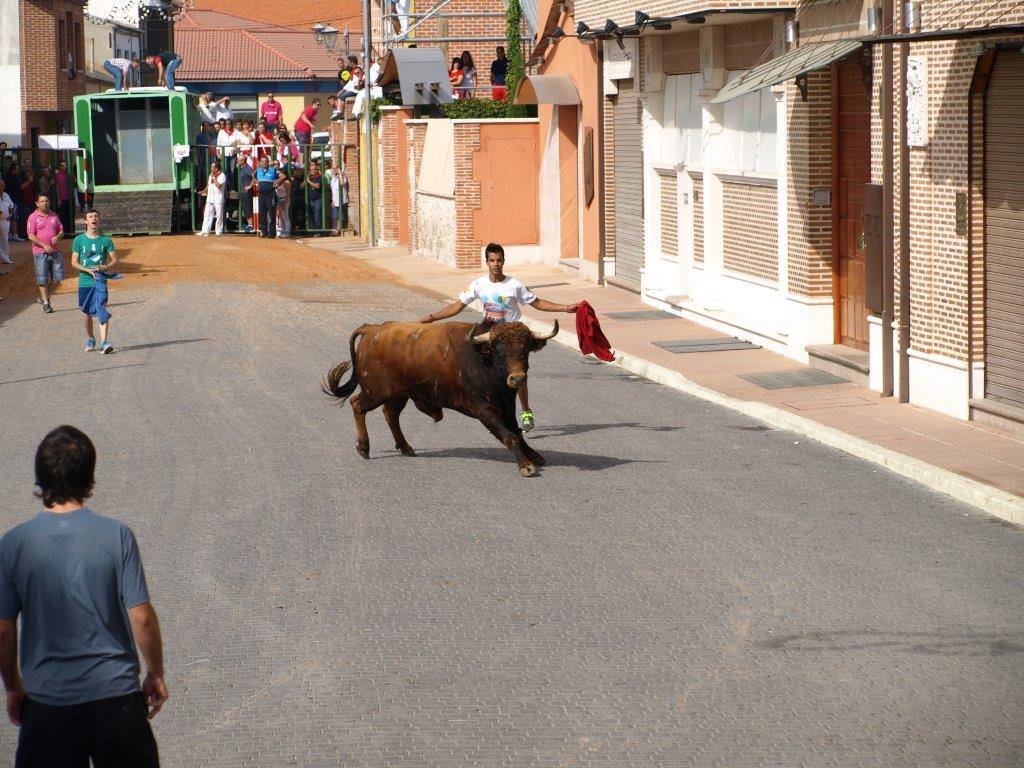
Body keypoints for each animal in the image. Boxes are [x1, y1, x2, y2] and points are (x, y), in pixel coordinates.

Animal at [321, 319, 557, 475]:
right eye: (499, 350)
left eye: (526, 349)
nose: (517, 378)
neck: (484, 359)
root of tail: (373, 329)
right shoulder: (486, 411)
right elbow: (510, 436)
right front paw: (525, 465)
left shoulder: (507, 409)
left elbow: (517, 432)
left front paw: (535, 455)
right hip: (375, 392)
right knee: (357, 405)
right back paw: (364, 448)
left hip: (398, 394)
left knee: (391, 414)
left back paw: (405, 447)